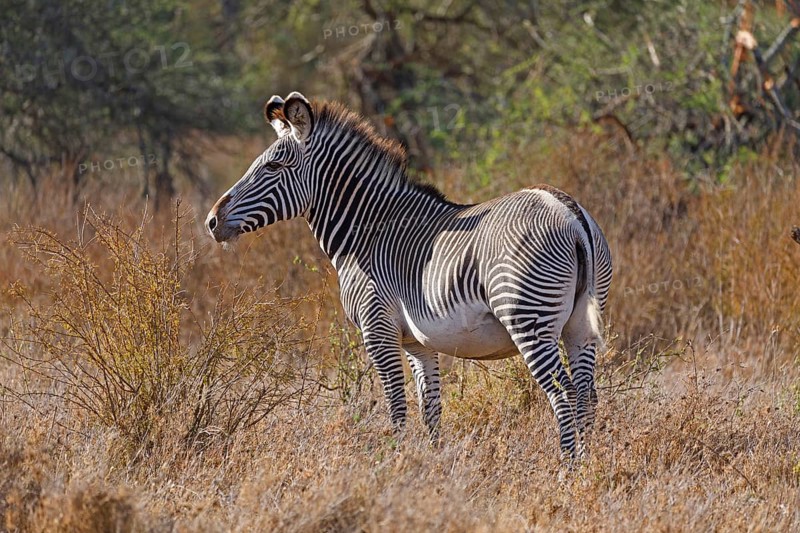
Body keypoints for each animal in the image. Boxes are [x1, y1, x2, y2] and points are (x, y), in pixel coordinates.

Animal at [206, 92, 612, 460]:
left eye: (273, 167)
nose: (211, 221)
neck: (367, 231)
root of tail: (568, 210)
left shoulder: (377, 330)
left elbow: (397, 408)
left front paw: (395, 465)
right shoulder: (418, 342)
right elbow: (430, 409)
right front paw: (430, 469)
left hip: (529, 319)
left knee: (563, 393)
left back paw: (567, 469)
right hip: (579, 325)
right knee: (587, 394)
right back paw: (587, 468)